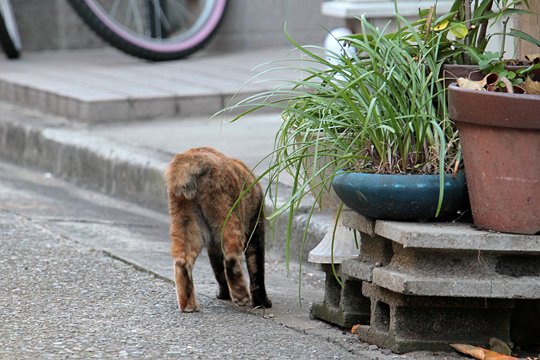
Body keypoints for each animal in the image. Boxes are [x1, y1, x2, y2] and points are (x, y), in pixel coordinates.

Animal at [165, 147, 272, 312]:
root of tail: (190, 159)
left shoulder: (213, 245)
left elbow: (218, 270)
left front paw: (223, 294)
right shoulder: (256, 230)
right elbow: (256, 269)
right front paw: (262, 302)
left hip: (189, 226)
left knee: (181, 264)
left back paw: (188, 306)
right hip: (229, 219)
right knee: (231, 259)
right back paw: (241, 296)